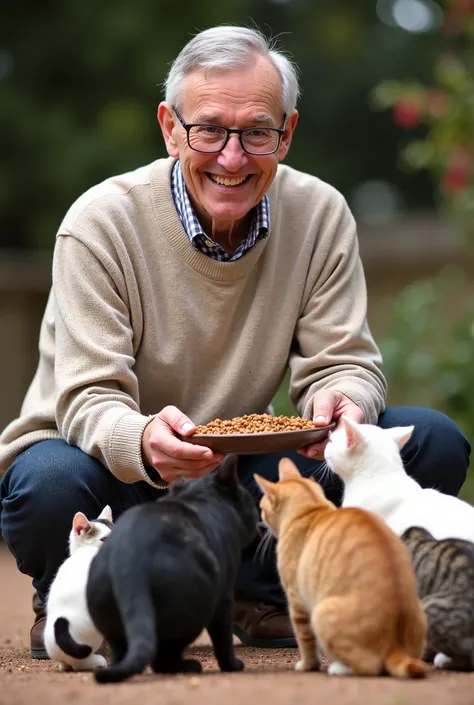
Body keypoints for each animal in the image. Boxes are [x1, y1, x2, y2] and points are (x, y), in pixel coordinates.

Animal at [88, 456, 260, 680]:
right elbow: (223, 639)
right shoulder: (224, 599)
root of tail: (129, 560)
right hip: (192, 611)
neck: (199, 498)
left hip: (111, 624)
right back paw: (189, 666)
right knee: (164, 658)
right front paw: (232, 665)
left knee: (122, 653)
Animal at [254, 456, 428, 676]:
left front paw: (307, 665)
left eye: (262, 508)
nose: (260, 520)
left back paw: (338, 668)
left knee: (368, 666)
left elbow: (306, 642)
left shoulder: (297, 601)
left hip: (321, 613)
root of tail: (395, 646)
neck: (311, 507)